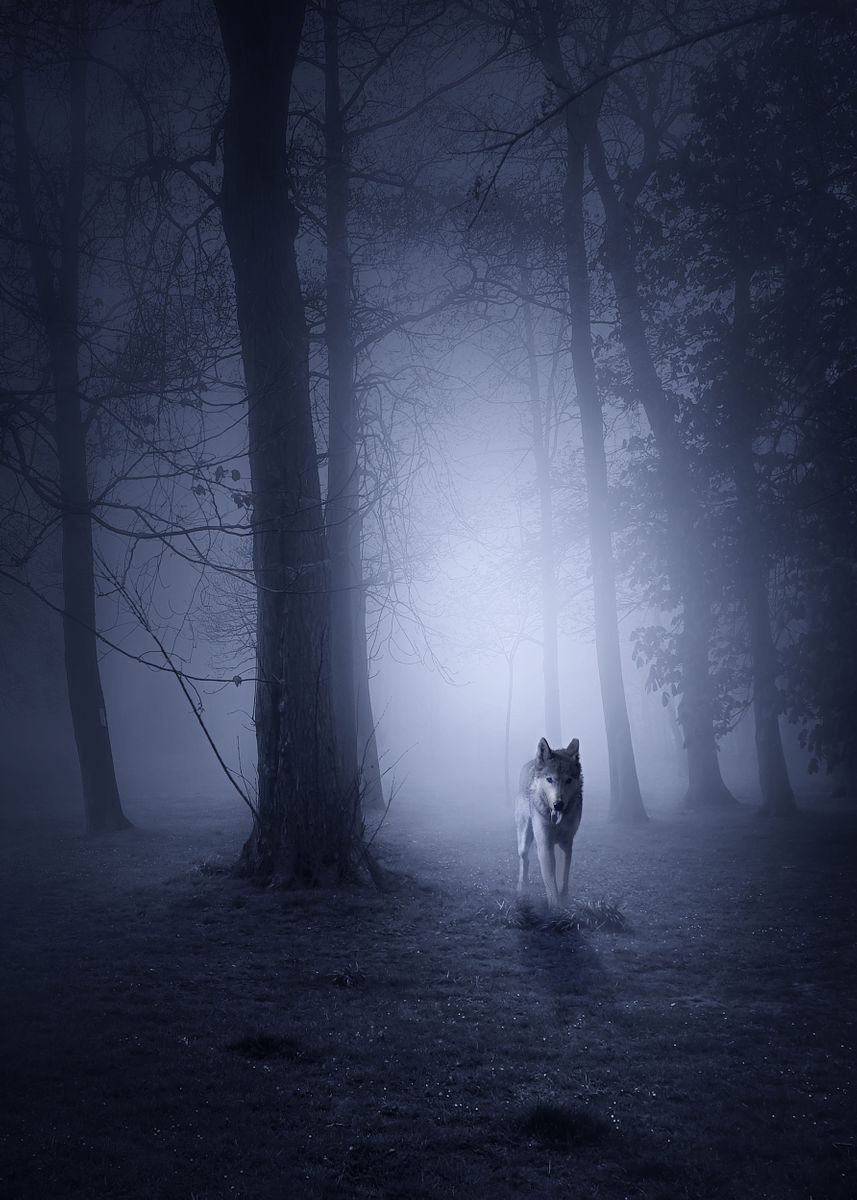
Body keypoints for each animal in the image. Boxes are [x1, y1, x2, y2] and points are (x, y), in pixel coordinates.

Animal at [515, 737, 583, 909]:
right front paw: (556, 907)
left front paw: (564, 901)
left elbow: (563, 878)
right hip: (525, 838)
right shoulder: (545, 844)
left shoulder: (567, 844)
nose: (558, 804)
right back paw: (523, 887)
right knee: (524, 858)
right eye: (550, 779)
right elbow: (551, 882)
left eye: (568, 780)